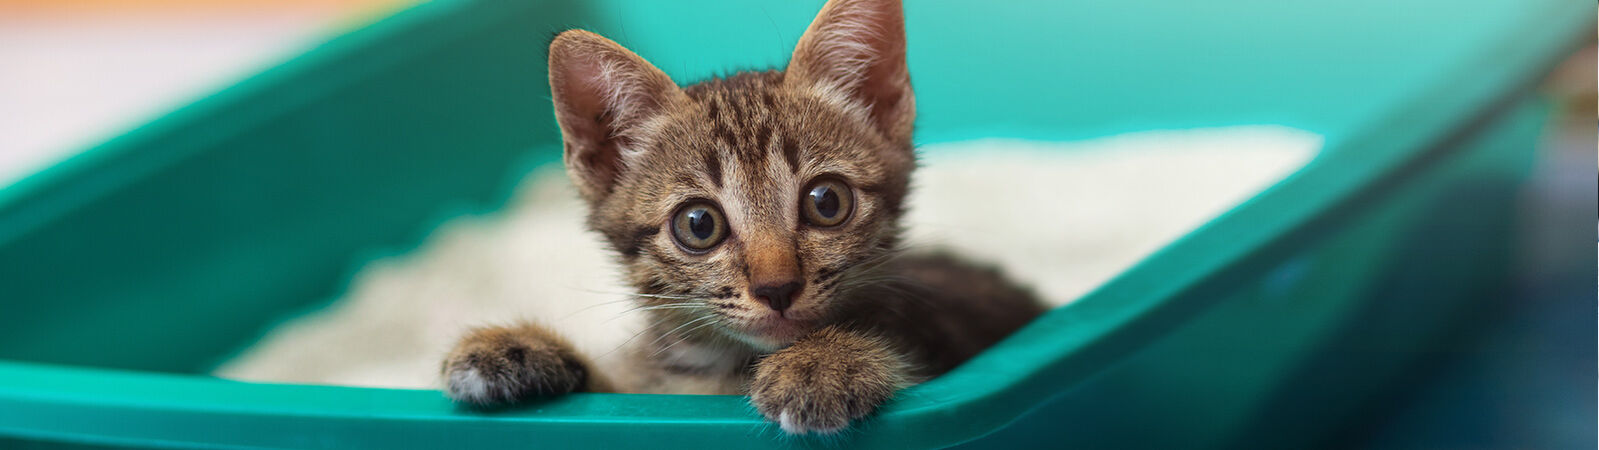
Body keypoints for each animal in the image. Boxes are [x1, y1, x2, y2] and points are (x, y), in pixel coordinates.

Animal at [444, 0, 1042, 435]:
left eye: (827, 202)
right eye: (699, 224)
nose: (777, 288)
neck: (727, 370)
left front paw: (824, 362)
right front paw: (519, 349)